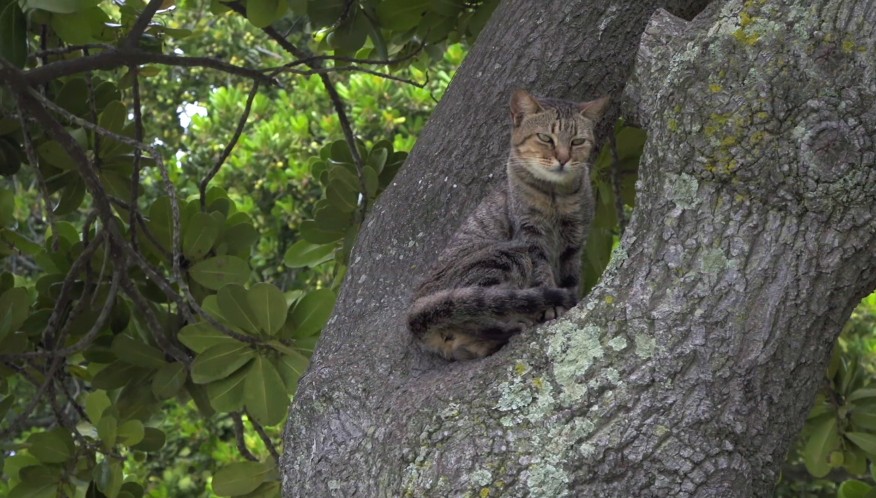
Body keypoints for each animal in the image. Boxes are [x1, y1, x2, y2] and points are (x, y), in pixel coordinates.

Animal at [406, 89, 604, 360]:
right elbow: (543, 272)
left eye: (577, 141)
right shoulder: (530, 236)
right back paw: (516, 321)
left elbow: (571, 276)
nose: (563, 159)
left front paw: (569, 300)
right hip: (505, 257)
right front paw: (553, 305)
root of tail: (417, 306)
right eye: (545, 138)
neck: (556, 196)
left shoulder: (575, 239)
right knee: (484, 307)